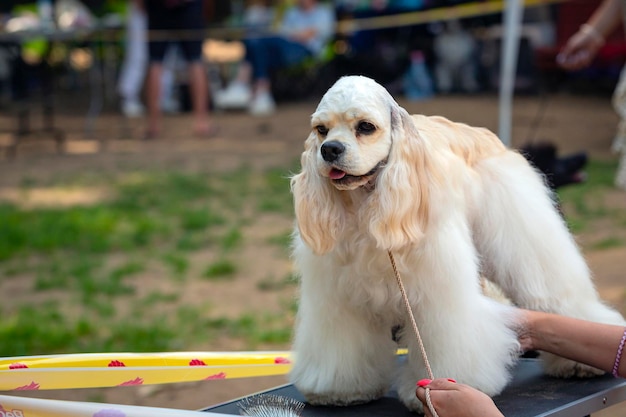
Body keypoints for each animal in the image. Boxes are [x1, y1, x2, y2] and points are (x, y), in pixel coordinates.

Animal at [288, 75, 624, 410]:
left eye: (366, 127)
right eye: (321, 130)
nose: (330, 149)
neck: (367, 201)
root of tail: (481, 133)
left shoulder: (438, 289)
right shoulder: (337, 297)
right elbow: (343, 344)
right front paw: (341, 389)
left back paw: (579, 362)